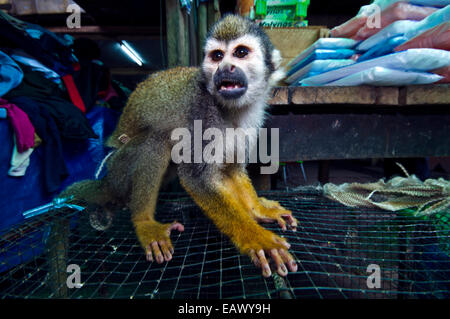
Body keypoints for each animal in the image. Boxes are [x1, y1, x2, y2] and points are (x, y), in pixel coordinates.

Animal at [60, 15, 298, 278]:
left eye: (241, 53)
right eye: (217, 56)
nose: (225, 68)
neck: (230, 109)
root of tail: (106, 182)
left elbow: (232, 169)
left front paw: (257, 211)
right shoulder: (201, 113)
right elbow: (196, 176)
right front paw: (256, 237)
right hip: (119, 169)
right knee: (157, 141)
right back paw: (143, 222)